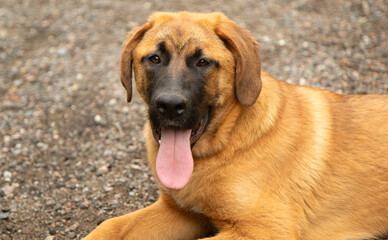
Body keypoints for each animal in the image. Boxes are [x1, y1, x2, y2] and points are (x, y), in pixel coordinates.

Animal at [85, 11, 388, 240]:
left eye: (203, 62)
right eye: (154, 59)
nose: (170, 105)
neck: (222, 147)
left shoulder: (264, 229)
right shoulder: (179, 212)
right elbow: (109, 226)